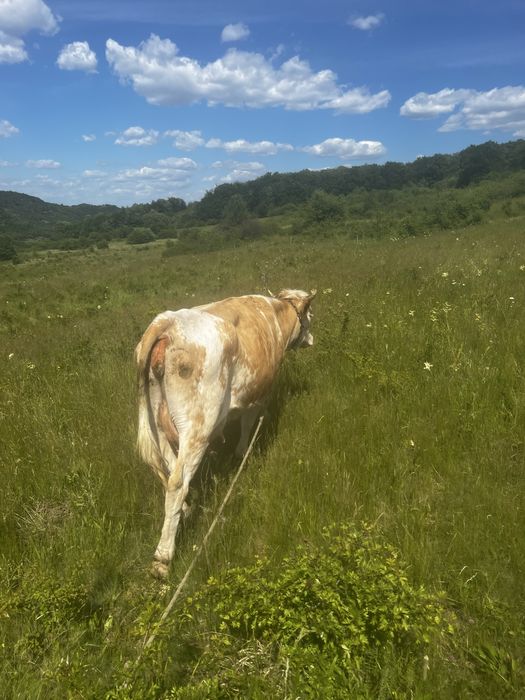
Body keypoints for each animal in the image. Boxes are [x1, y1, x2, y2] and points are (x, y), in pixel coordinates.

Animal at [135, 288, 316, 578]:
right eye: (311, 315)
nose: (311, 339)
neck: (276, 315)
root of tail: (168, 322)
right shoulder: (257, 396)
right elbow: (247, 427)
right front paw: (243, 455)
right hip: (197, 426)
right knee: (177, 482)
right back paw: (163, 558)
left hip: (157, 421)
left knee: (167, 468)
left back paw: (185, 511)